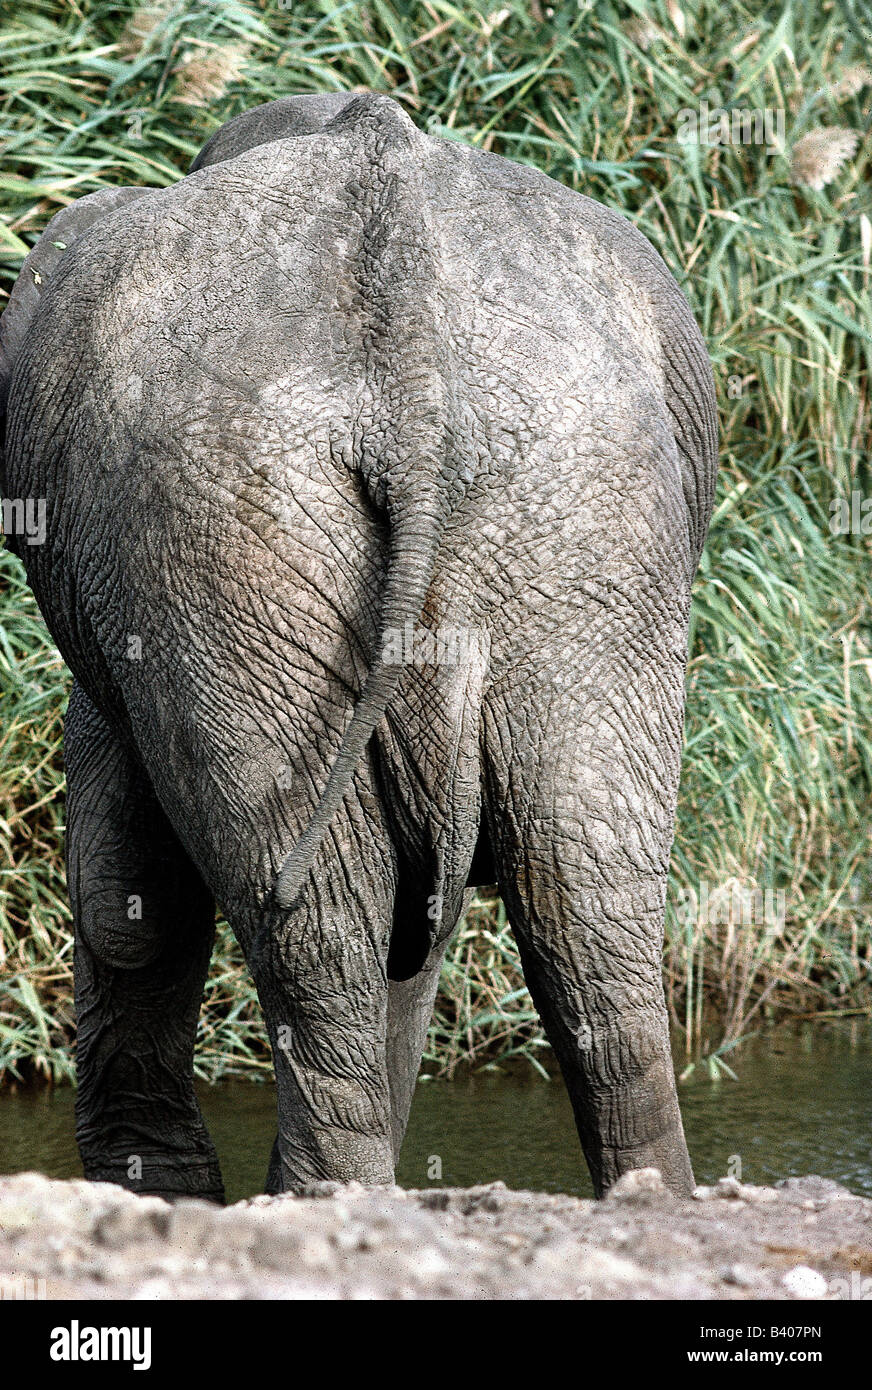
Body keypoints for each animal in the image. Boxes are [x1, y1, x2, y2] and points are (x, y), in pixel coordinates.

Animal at [0, 91, 717, 1202]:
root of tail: (408, 367)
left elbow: (127, 889)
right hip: (575, 520)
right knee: (584, 902)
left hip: (229, 526)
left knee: (314, 918)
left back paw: (315, 1197)